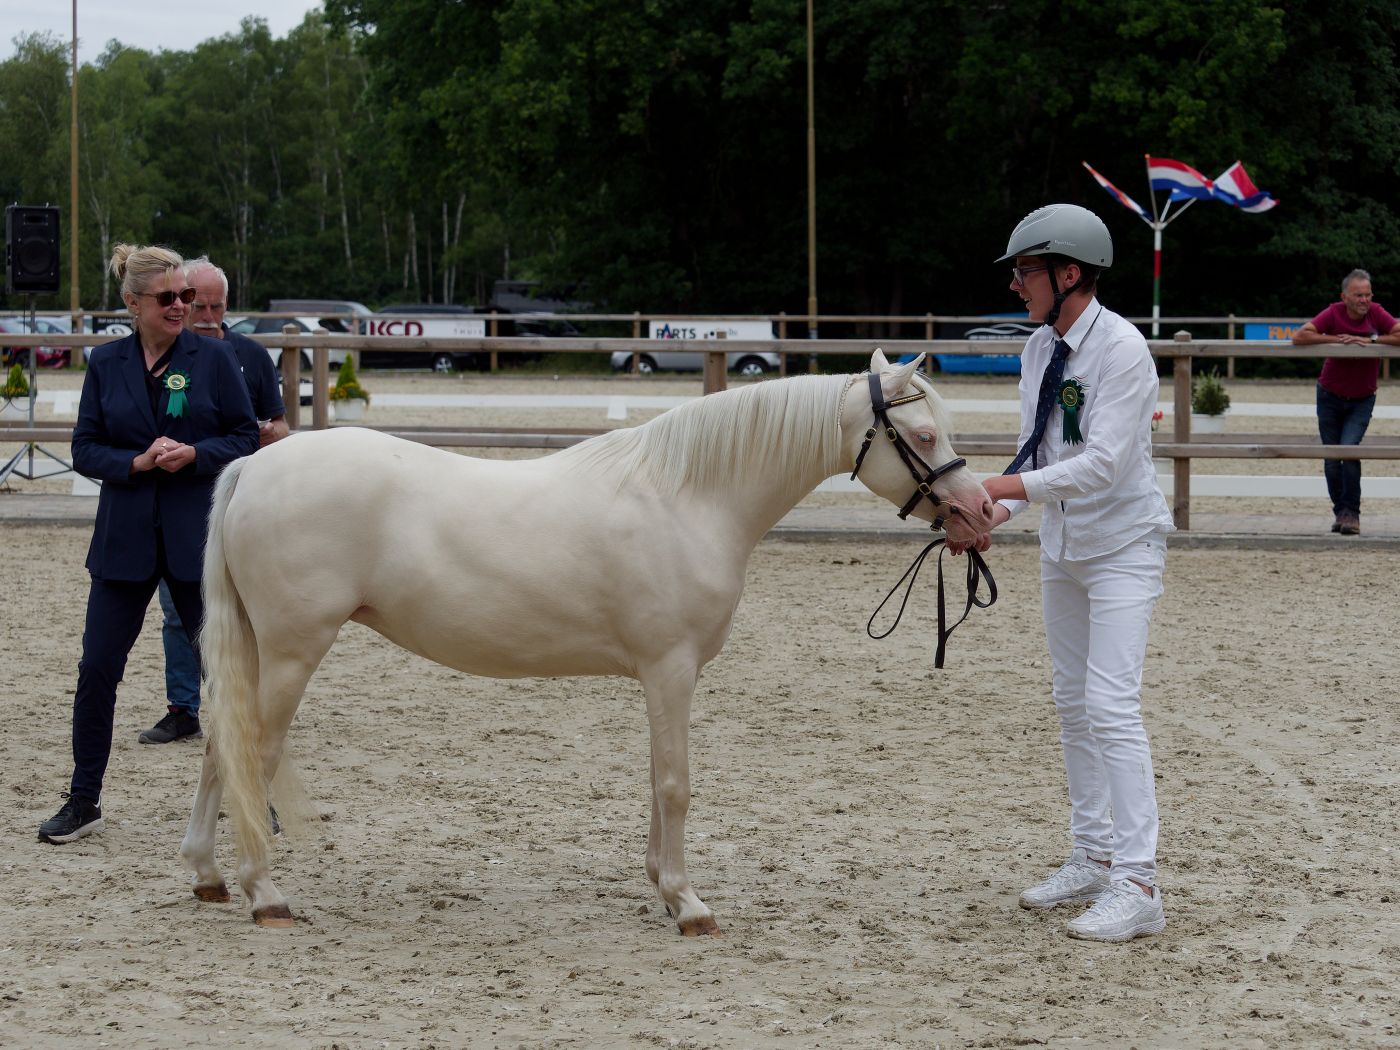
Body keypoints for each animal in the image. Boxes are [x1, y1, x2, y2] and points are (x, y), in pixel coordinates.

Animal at [181, 348, 995, 935]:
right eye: (925, 436)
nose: (980, 510)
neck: (688, 496)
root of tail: (255, 465)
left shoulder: (660, 676)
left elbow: (656, 778)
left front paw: (662, 888)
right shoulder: (670, 669)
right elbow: (676, 783)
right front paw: (689, 905)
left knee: (220, 745)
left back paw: (208, 875)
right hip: (293, 650)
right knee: (253, 752)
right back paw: (264, 893)